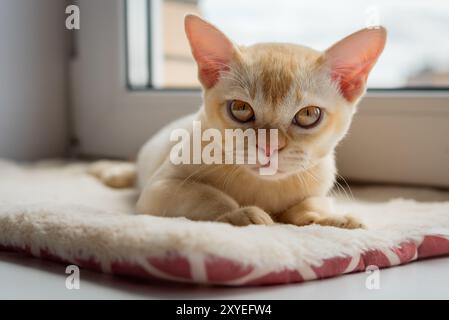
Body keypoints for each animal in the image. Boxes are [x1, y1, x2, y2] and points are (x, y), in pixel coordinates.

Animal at [91, 15, 384, 229]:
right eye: (241, 108)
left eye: (309, 115)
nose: (269, 146)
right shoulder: (160, 188)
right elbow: (205, 195)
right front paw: (241, 213)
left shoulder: (319, 182)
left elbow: (313, 203)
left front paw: (333, 218)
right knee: (134, 170)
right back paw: (113, 173)